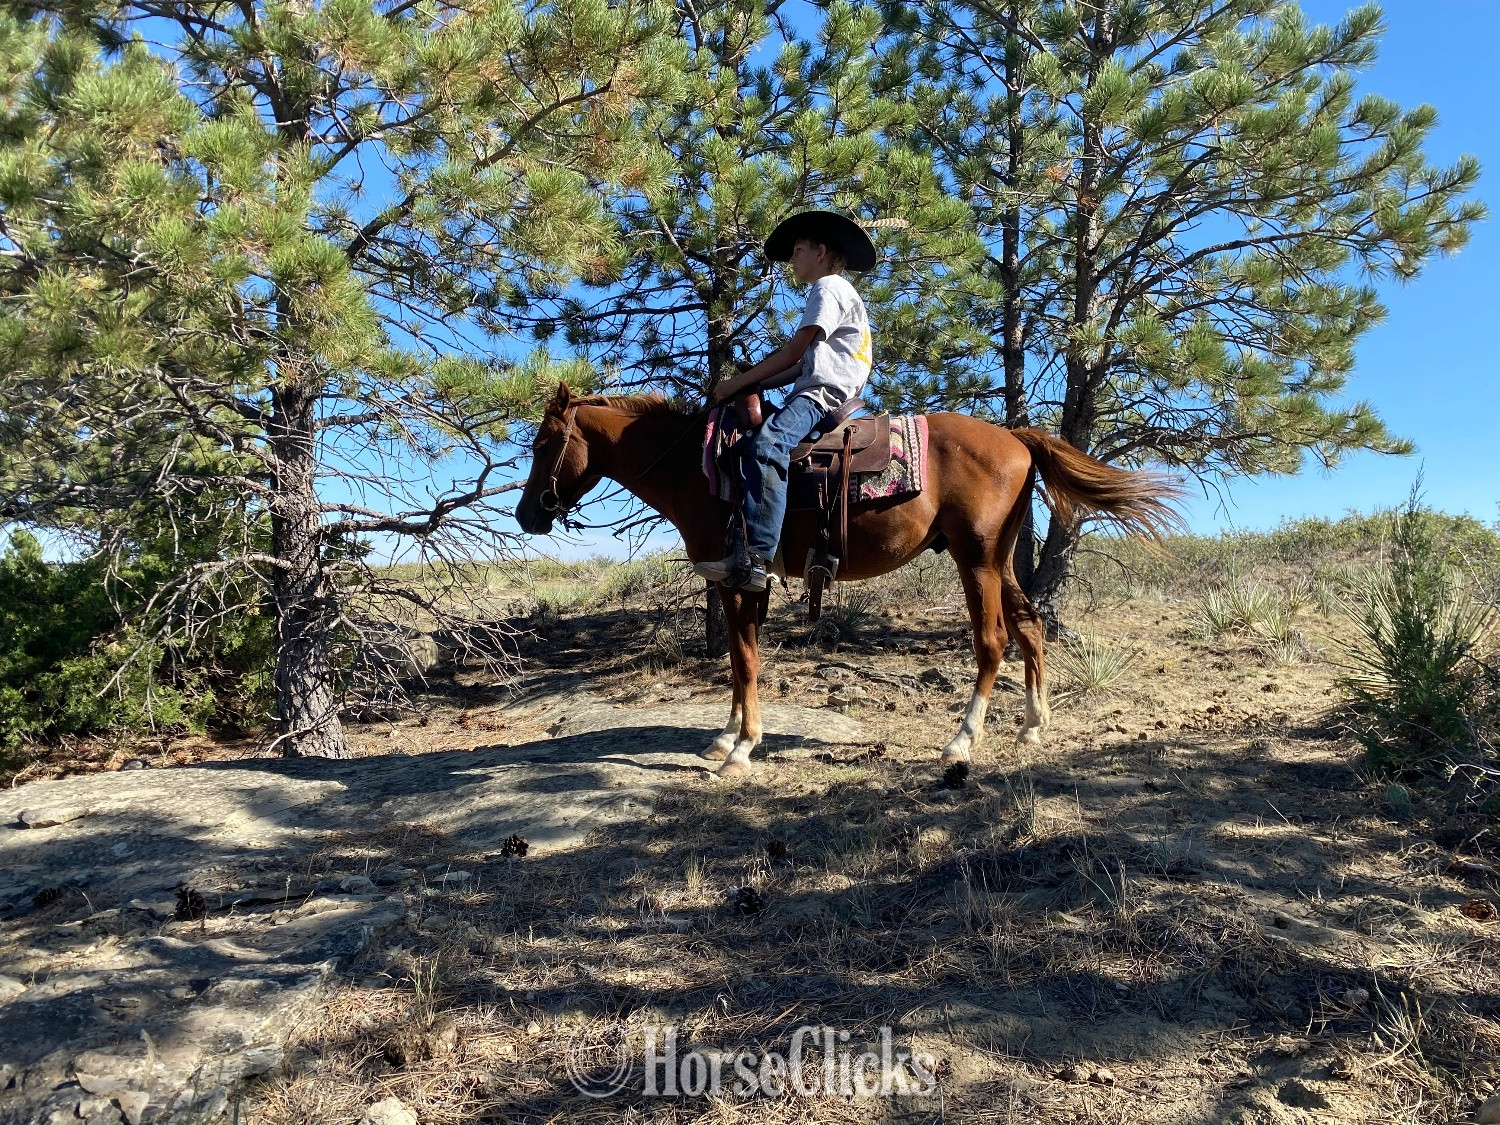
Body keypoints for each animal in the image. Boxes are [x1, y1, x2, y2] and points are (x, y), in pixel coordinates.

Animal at [515, 384, 1181, 778]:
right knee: (1031, 627)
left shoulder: (738, 577)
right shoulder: (739, 582)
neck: (701, 470)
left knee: (993, 641)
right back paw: (1032, 729)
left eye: (545, 442)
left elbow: (746, 660)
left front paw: (742, 749)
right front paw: (726, 737)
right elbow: (738, 658)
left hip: (977, 559)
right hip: (998, 559)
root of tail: (1016, 437)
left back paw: (961, 742)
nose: (527, 515)